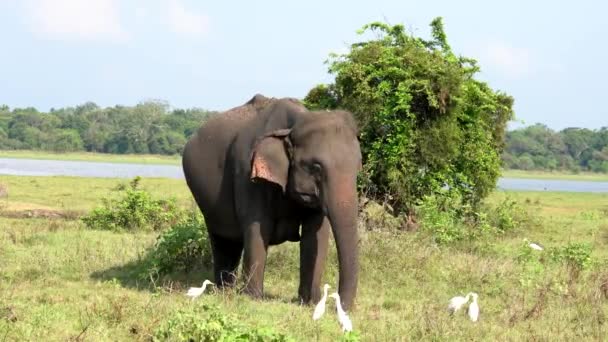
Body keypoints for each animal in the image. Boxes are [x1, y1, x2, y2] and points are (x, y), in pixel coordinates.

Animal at [180, 93, 360, 310]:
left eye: (358, 166)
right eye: (316, 167)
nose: (339, 307)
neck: (294, 124)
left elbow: (316, 234)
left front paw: (310, 302)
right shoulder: (246, 173)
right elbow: (259, 227)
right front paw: (252, 298)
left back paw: (226, 290)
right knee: (221, 239)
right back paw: (224, 291)